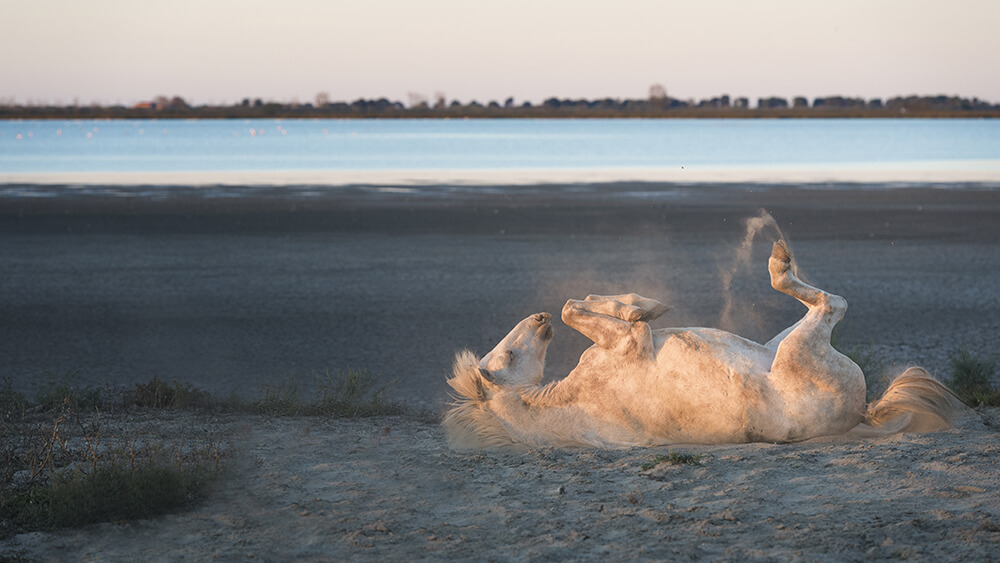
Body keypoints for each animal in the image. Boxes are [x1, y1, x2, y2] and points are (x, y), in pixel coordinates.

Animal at [446, 241, 960, 450]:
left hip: (773, 344)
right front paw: (643, 309)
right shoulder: (629, 346)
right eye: (509, 356)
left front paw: (635, 303)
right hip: (799, 346)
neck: (571, 404)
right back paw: (779, 261)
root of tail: (862, 412)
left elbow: (581, 304)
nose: (539, 320)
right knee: (830, 301)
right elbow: (582, 310)